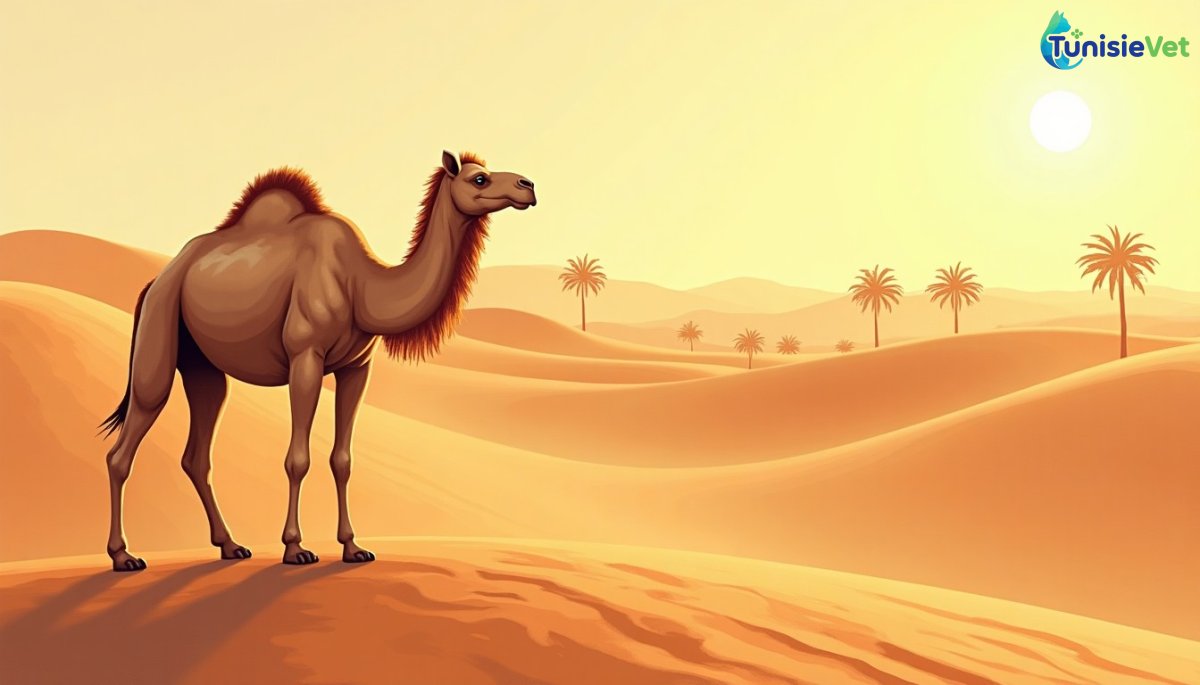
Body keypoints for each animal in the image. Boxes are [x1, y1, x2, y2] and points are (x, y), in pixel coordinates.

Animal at [99, 151, 536, 572]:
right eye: (479, 178)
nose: (528, 185)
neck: (362, 285)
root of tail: (157, 280)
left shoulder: (356, 368)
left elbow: (342, 459)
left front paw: (353, 547)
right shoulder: (304, 356)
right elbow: (298, 458)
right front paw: (295, 548)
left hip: (202, 366)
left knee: (197, 452)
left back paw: (231, 545)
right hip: (160, 326)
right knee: (125, 444)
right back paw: (124, 556)